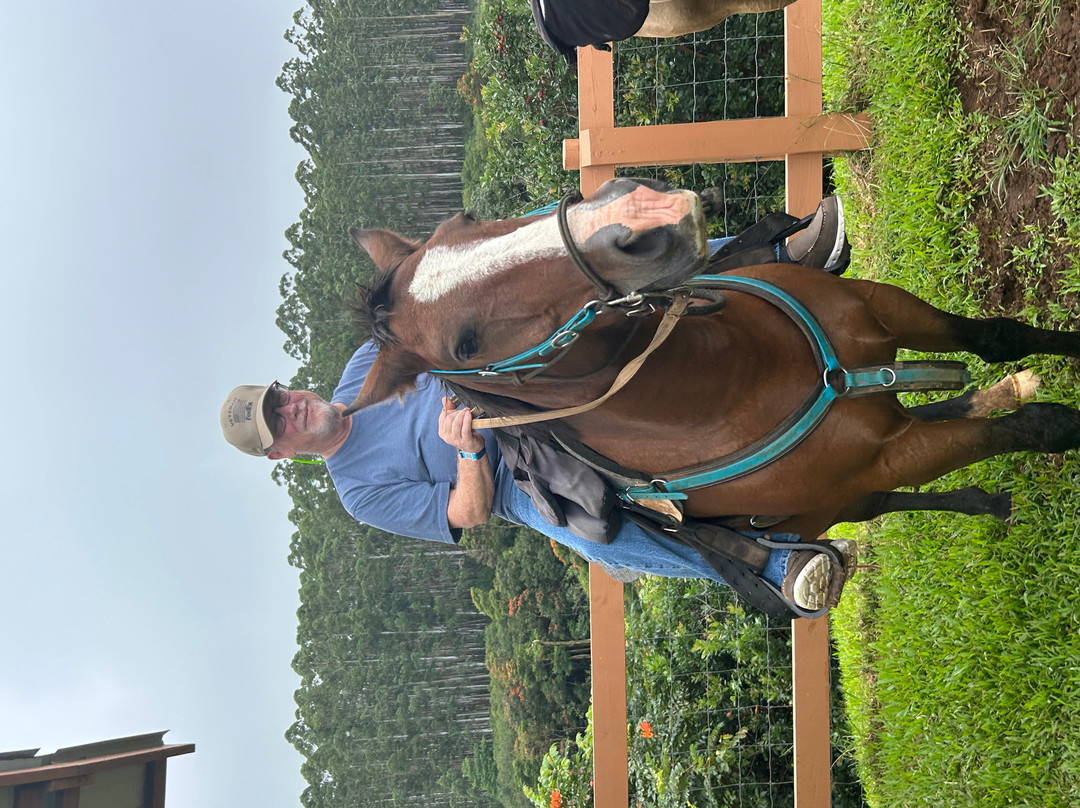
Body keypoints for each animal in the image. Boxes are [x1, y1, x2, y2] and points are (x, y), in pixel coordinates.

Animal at [342, 177, 1080, 550]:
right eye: (464, 344)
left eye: (465, 220)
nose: (645, 212)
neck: (748, 376)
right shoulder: (890, 456)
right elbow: (1038, 427)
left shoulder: (881, 306)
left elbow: (998, 337)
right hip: (838, 500)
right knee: (886, 494)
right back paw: (984, 493)